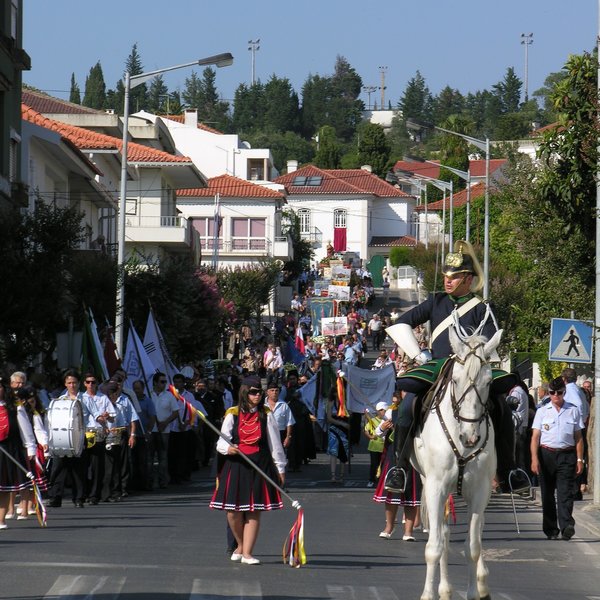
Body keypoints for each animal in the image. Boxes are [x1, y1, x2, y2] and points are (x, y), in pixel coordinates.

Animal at [412, 326, 502, 600]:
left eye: (488, 382)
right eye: (455, 380)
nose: (470, 437)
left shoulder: (480, 490)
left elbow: (473, 546)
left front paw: (473, 591)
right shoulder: (436, 487)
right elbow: (435, 546)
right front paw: (429, 594)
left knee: (478, 531)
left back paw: (481, 583)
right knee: (443, 533)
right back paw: (444, 589)